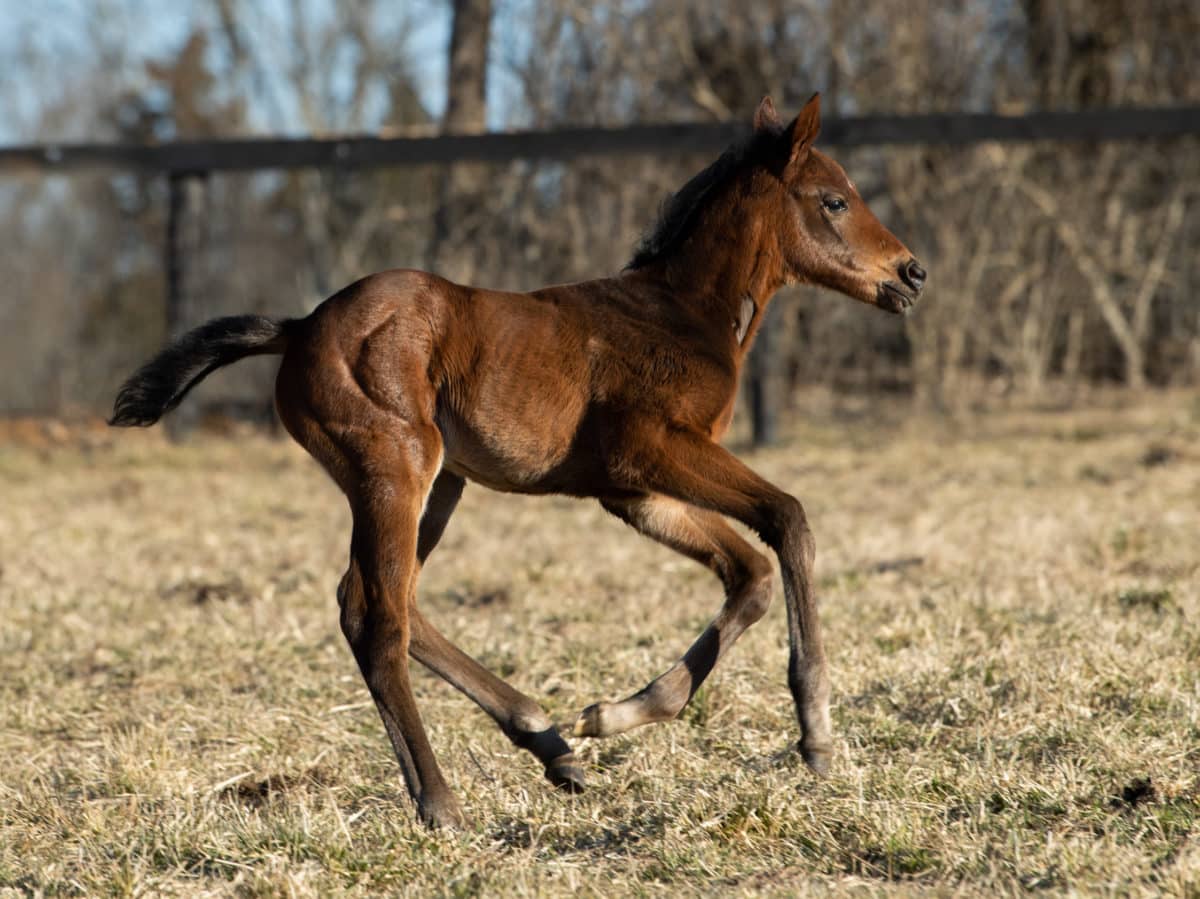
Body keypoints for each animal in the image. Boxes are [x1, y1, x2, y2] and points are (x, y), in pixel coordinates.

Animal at [112, 94, 921, 825]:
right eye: (835, 200)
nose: (911, 273)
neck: (682, 314)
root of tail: (302, 324)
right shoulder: (654, 448)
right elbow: (789, 518)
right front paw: (817, 734)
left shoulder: (634, 490)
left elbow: (748, 574)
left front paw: (612, 715)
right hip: (395, 465)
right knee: (376, 615)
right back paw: (440, 802)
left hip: (440, 483)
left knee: (384, 599)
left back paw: (548, 742)